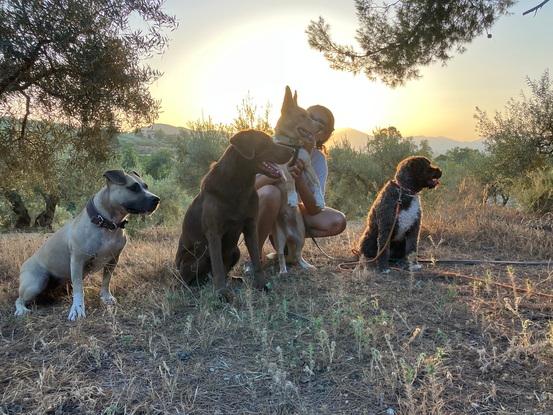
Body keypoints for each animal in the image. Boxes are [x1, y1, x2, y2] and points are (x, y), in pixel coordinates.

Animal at [14, 171, 160, 320]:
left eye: (146, 186)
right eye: (133, 187)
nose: (157, 199)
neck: (106, 224)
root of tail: (24, 264)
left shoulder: (113, 260)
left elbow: (106, 280)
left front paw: (106, 297)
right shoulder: (77, 261)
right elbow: (79, 289)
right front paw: (77, 309)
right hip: (36, 283)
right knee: (19, 299)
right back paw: (22, 310)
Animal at [176, 129, 294, 300]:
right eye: (265, 142)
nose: (293, 151)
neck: (239, 186)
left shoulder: (250, 226)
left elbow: (256, 260)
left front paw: (261, 285)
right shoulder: (214, 233)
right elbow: (218, 267)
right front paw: (222, 294)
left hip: (235, 251)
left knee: (222, 272)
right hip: (199, 256)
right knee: (197, 278)